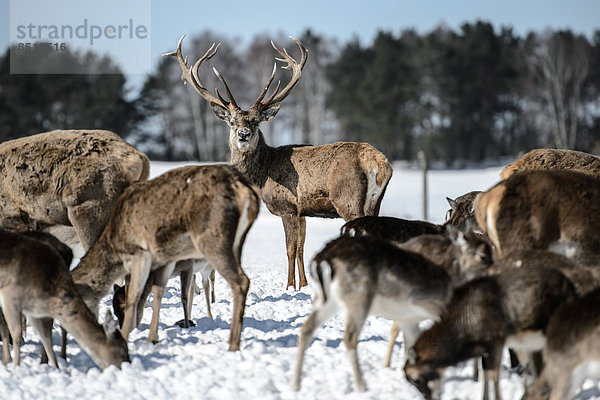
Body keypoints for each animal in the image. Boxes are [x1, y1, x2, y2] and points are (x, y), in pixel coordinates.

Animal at [0, 228, 130, 368]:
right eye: (122, 349)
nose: (127, 365)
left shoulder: (35, 311)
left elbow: (45, 336)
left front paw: (54, 366)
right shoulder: (11, 296)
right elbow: (17, 333)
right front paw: (14, 366)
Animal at [70, 163, 258, 350]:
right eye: (114, 310)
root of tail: (246, 189)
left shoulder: (140, 254)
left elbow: (134, 297)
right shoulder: (164, 261)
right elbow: (158, 292)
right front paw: (152, 338)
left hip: (212, 240)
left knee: (240, 281)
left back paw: (232, 344)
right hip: (236, 243)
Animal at [164, 36, 394, 290]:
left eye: (255, 122)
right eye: (232, 122)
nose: (243, 134)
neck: (263, 174)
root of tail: (380, 163)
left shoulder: (287, 206)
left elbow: (290, 249)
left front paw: (289, 287)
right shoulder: (302, 211)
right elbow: (302, 248)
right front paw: (303, 285)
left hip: (348, 198)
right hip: (376, 201)